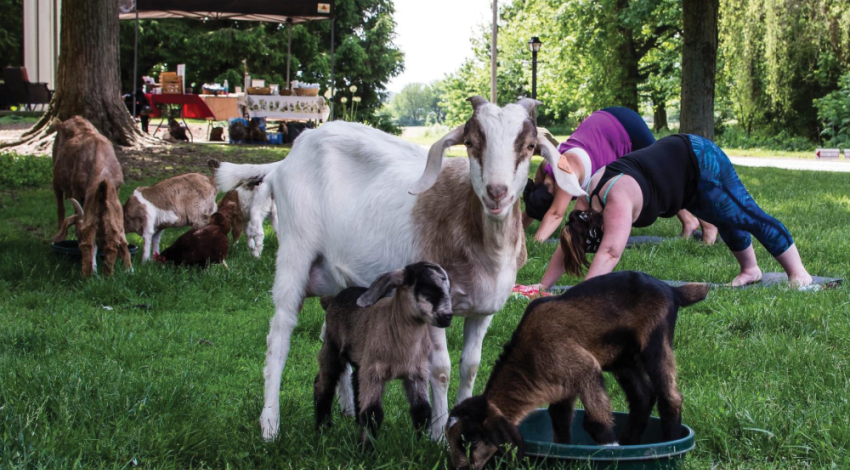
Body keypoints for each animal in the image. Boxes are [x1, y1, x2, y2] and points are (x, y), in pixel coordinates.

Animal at [215, 94, 588, 440]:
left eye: (529, 146)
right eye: (471, 143)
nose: (497, 193)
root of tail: (285, 161)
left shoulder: (484, 311)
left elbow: (470, 366)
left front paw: (463, 428)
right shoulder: (434, 306)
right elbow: (441, 369)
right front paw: (438, 435)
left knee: (331, 332)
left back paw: (346, 409)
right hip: (296, 249)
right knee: (279, 334)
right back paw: (270, 426)